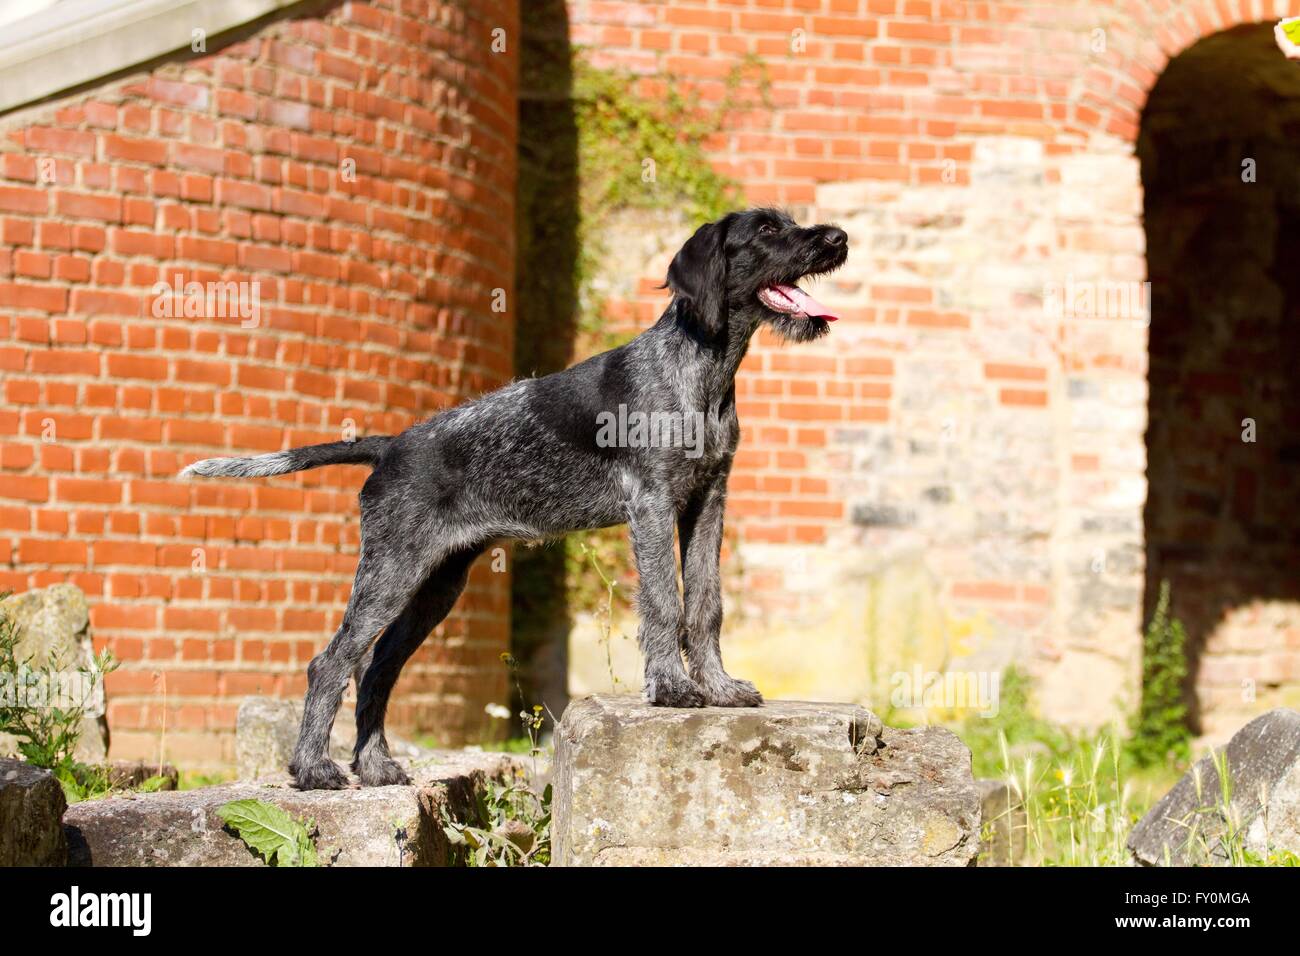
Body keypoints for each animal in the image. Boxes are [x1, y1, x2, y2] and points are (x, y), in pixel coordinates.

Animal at [185, 209, 852, 790]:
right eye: (766, 230)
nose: (837, 238)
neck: (704, 368)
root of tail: (390, 447)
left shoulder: (708, 502)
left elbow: (706, 604)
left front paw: (717, 687)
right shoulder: (653, 505)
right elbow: (665, 603)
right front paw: (671, 688)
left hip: (436, 584)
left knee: (376, 669)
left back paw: (374, 767)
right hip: (391, 570)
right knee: (331, 662)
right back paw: (313, 771)